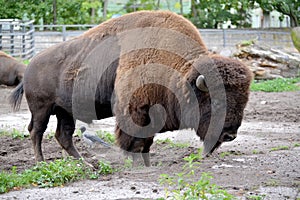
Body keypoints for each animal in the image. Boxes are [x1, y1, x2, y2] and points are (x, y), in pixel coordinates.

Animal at [9, 11, 253, 167]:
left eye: (244, 102)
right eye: (217, 101)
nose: (230, 135)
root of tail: (30, 66)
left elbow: (147, 141)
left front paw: (146, 161)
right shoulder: (136, 109)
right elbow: (134, 138)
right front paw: (136, 161)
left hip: (64, 111)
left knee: (64, 135)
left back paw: (85, 164)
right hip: (41, 108)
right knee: (36, 131)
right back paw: (41, 162)